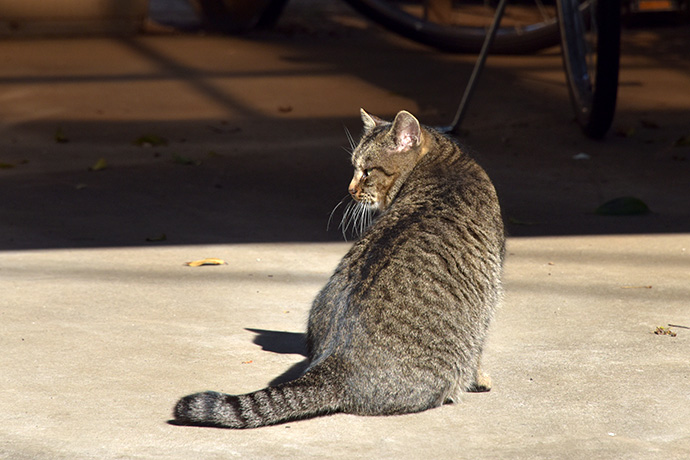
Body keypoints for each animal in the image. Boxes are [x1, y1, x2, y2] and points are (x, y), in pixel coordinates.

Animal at [172, 108, 506, 428]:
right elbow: (479, 350)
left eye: (367, 171)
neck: (445, 162)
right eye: (354, 168)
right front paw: (480, 379)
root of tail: (333, 365)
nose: (350, 189)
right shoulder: (490, 295)